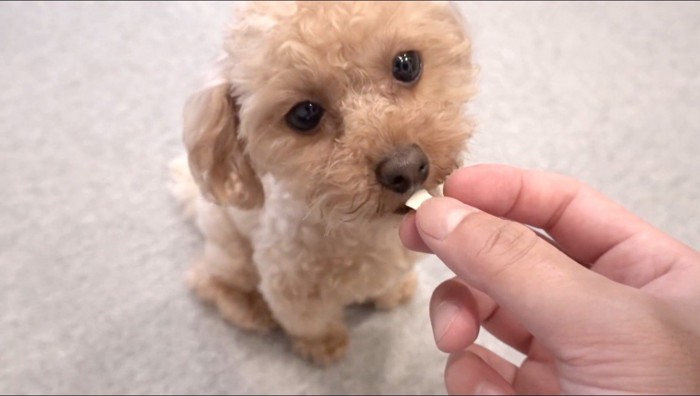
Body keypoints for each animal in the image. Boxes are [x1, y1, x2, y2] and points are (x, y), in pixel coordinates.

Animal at [171, 1, 476, 364]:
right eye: (304, 115)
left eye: (406, 64)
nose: (406, 169)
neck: (362, 235)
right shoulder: (292, 294)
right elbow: (310, 323)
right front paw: (324, 346)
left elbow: (389, 283)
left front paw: (393, 292)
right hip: (231, 249)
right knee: (206, 279)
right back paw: (249, 309)